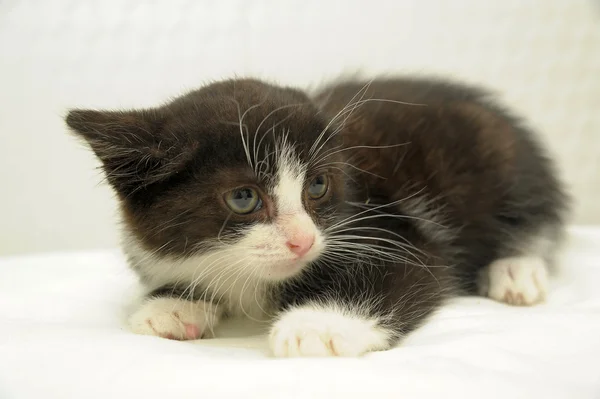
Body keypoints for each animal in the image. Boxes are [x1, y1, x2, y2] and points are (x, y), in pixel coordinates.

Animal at [65, 76, 568, 358]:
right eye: (244, 197)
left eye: (318, 187)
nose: (302, 241)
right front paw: (171, 305)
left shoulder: (394, 229)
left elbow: (409, 270)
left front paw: (316, 325)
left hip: (498, 153)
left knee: (534, 219)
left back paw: (516, 270)